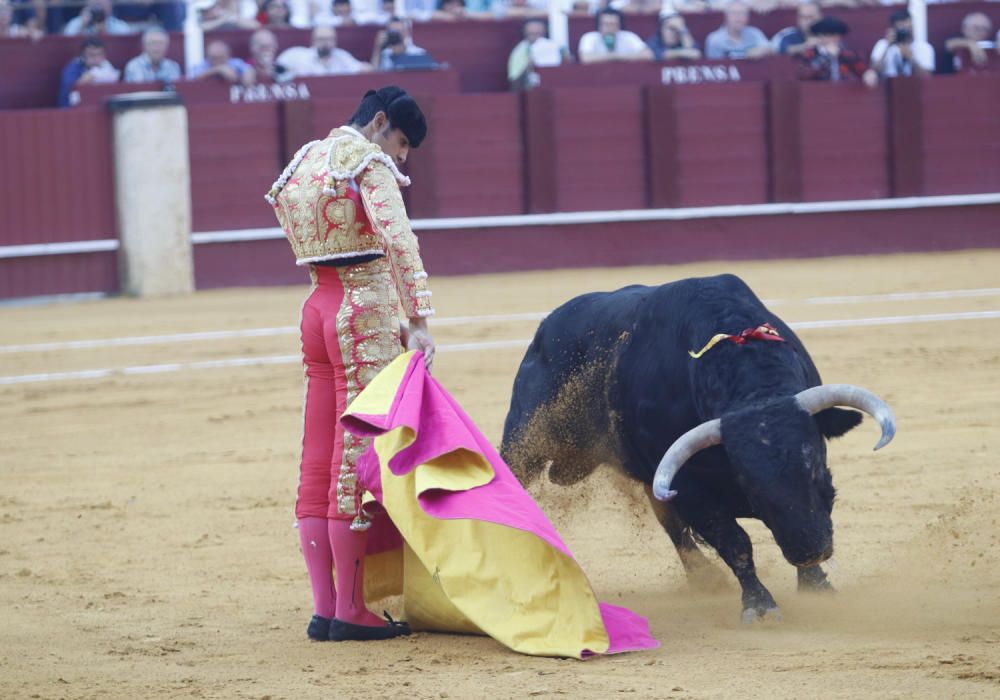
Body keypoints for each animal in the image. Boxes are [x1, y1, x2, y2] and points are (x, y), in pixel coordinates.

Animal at [500, 274, 900, 624]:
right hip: (524, 443)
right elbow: (735, 542)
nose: (809, 550)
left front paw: (817, 588)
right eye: (747, 480)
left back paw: (705, 579)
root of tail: (545, 330)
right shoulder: (691, 489)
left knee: (671, 524)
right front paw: (760, 606)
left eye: (814, 461)